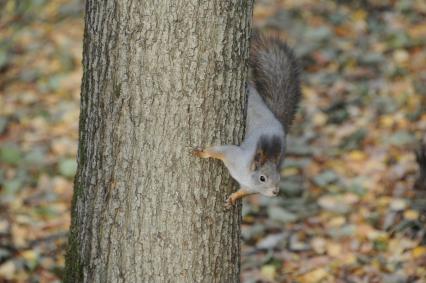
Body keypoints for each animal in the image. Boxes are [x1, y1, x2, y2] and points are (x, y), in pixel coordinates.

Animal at [191, 35, 302, 209]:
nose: (275, 192)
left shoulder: (249, 187)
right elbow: (220, 150)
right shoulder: (234, 156)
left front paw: (233, 198)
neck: (248, 175)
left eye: (279, 177)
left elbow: (243, 192)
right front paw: (202, 153)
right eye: (262, 178)